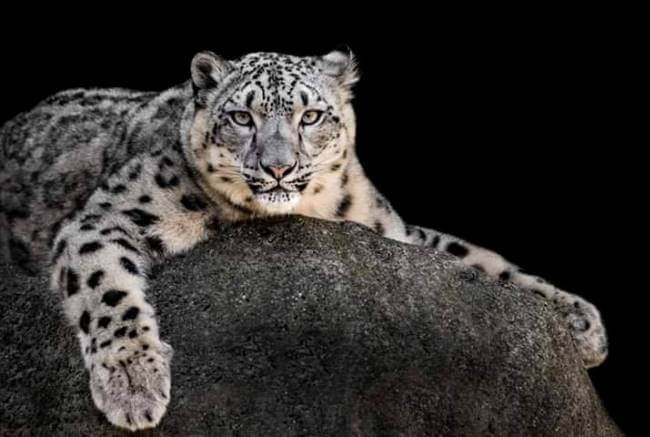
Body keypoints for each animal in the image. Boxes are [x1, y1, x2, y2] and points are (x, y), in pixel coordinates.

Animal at [0, 50, 608, 431]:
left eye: (311, 115)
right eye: (241, 117)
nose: (277, 167)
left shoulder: (389, 229)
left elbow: (472, 254)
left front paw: (583, 325)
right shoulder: (110, 215)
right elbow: (108, 292)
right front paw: (133, 384)